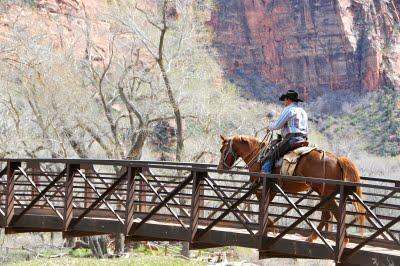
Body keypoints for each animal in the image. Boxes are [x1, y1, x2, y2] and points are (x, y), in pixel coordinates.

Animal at [217, 135, 364, 243]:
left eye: (222, 150)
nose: (219, 168)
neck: (258, 155)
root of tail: (338, 159)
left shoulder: (260, 187)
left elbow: (261, 204)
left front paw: (269, 230)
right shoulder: (272, 189)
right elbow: (265, 205)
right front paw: (270, 229)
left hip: (324, 192)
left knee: (332, 213)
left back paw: (337, 239)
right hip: (326, 194)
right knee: (328, 214)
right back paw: (314, 237)